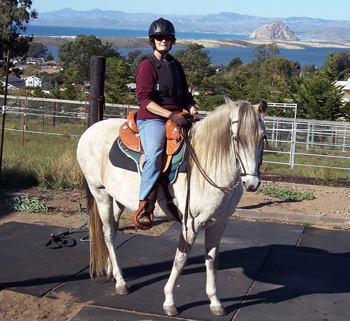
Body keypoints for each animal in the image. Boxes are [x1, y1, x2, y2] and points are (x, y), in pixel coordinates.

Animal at [76, 97, 266, 316]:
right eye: (235, 138)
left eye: (263, 136)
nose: (251, 183)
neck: (207, 165)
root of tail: (90, 130)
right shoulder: (191, 224)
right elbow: (181, 259)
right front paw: (169, 301)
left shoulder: (218, 223)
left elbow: (212, 260)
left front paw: (215, 302)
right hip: (101, 194)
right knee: (107, 233)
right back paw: (121, 282)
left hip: (117, 199)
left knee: (113, 233)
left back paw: (112, 271)